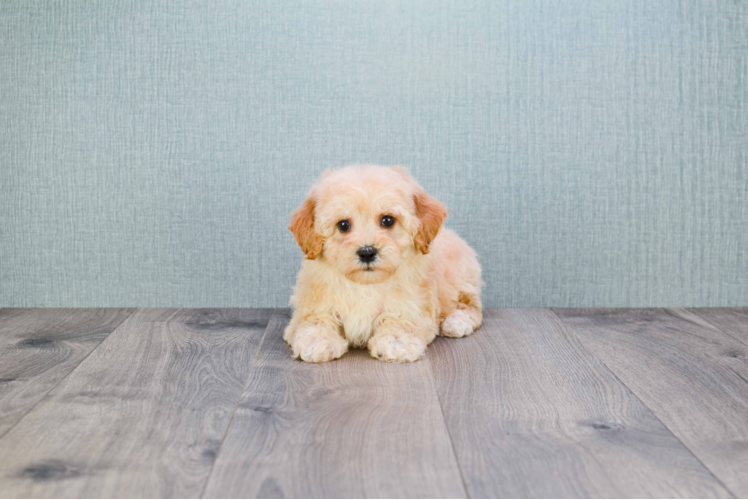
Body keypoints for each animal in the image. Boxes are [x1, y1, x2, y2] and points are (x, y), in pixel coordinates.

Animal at [284, 165, 482, 364]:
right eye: (343, 225)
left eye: (388, 220)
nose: (367, 252)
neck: (366, 285)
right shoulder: (313, 302)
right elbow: (314, 319)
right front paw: (317, 340)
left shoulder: (413, 303)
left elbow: (402, 318)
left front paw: (396, 341)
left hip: (457, 279)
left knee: (471, 304)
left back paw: (457, 321)